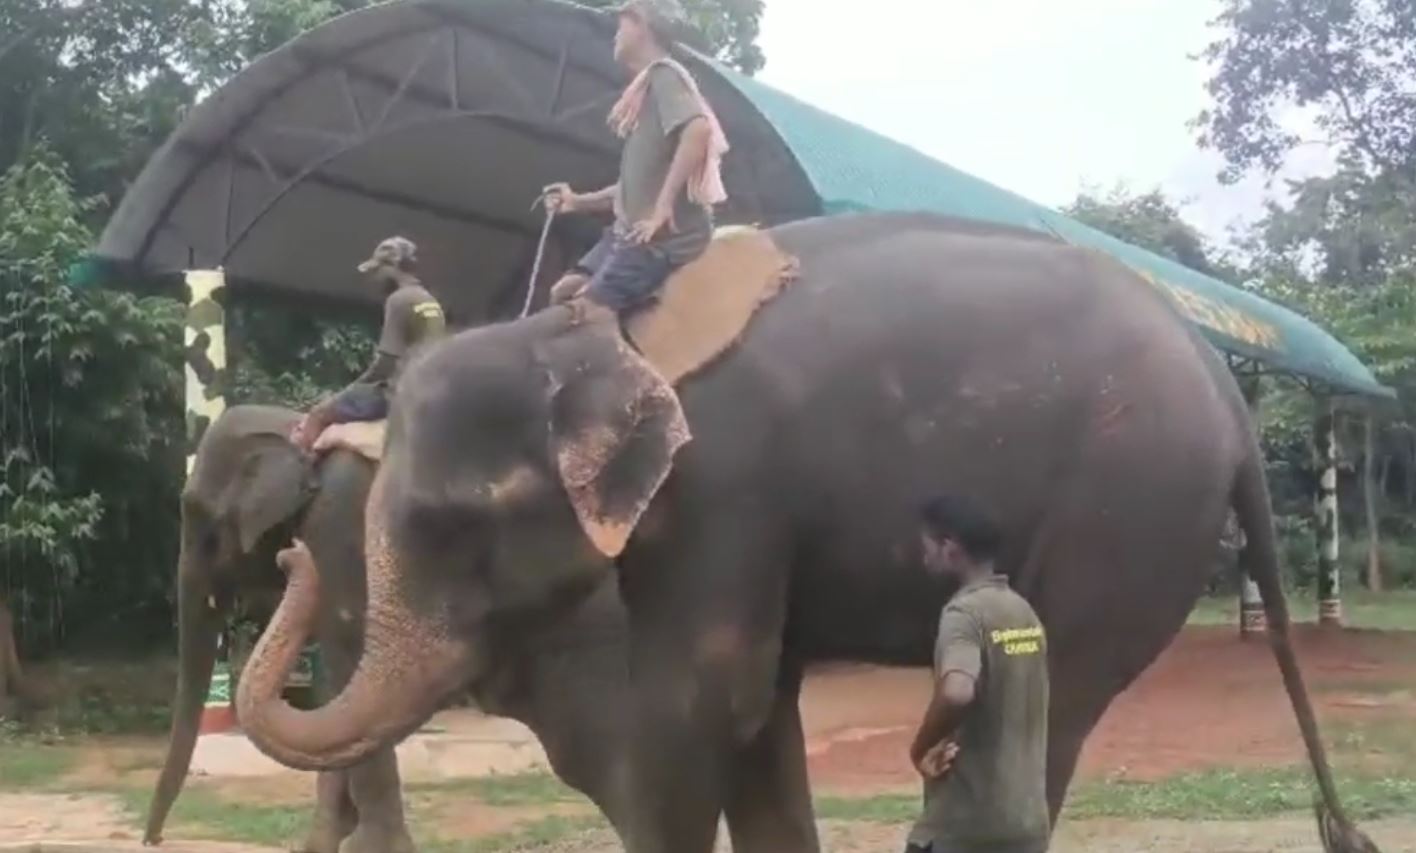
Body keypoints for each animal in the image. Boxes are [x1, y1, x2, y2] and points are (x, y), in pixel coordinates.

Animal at [143, 405, 642, 850]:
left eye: (198, 517)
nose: (154, 839)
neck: (292, 427)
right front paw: (325, 842)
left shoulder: (337, 528)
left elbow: (347, 654)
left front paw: (367, 846)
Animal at [235, 213, 1382, 850]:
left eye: (444, 521)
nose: (286, 550)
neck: (574, 335)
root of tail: (1231, 399)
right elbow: (758, 720)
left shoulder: (724, 489)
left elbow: (697, 710)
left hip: (1127, 512)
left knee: (1059, 702)